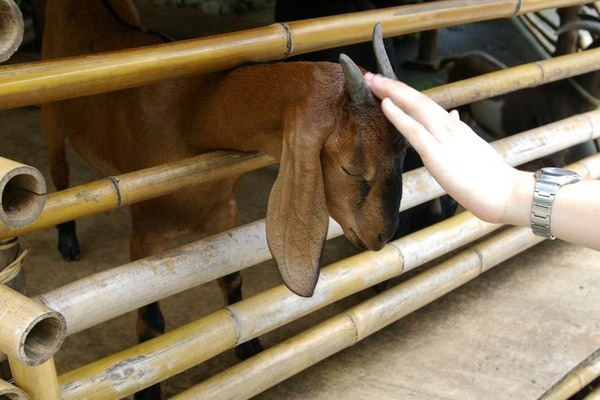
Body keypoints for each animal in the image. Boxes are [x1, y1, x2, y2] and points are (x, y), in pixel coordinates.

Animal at [41, 2, 408, 396]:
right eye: (351, 169)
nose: (382, 234)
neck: (191, 114)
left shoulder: (223, 211)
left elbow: (231, 278)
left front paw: (249, 346)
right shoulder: (146, 231)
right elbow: (150, 317)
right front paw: (148, 390)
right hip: (52, 113)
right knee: (58, 170)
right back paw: (67, 240)